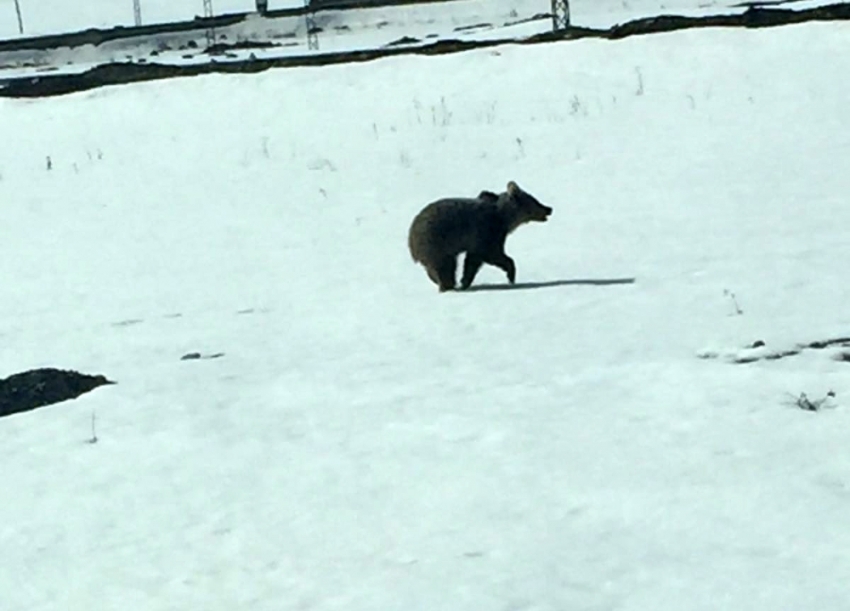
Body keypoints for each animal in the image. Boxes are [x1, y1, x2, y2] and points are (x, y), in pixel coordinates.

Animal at [408, 180, 552, 292]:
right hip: (437, 242)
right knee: (445, 266)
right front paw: (511, 275)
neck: (504, 219)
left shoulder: (480, 239)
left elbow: (473, 260)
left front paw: (465, 281)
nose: (549, 208)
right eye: (534, 200)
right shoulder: (487, 233)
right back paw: (447, 285)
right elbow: (491, 254)